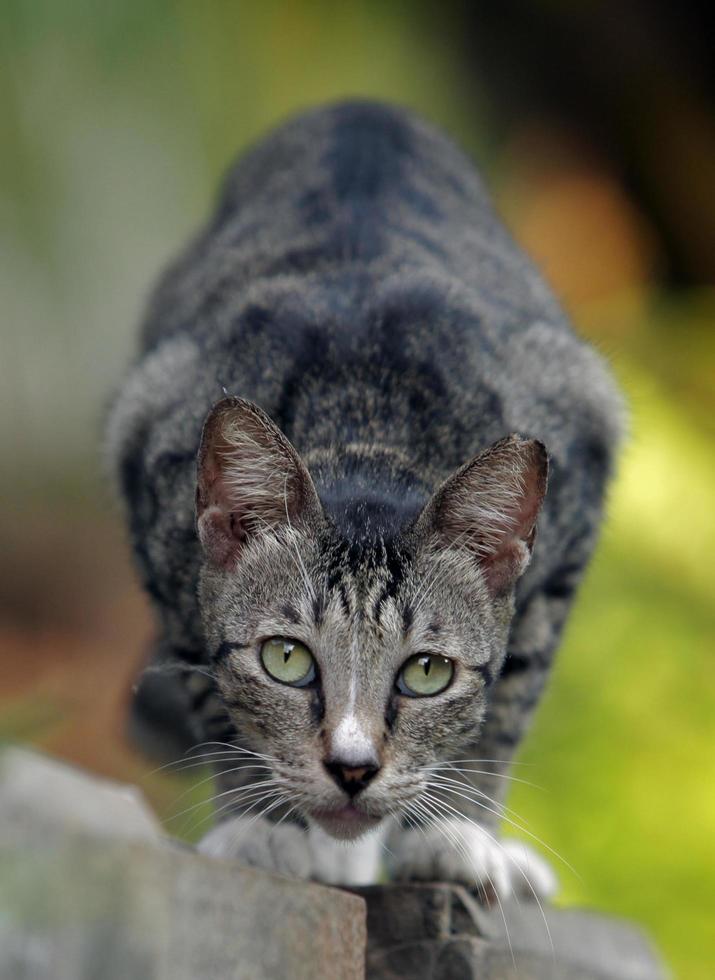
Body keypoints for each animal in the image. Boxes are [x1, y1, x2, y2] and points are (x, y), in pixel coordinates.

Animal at [107, 101, 628, 904]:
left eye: (427, 672)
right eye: (286, 659)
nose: (352, 769)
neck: (365, 426)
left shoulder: (581, 456)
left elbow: (506, 705)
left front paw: (453, 835)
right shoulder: (148, 458)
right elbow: (209, 688)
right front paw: (262, 827)